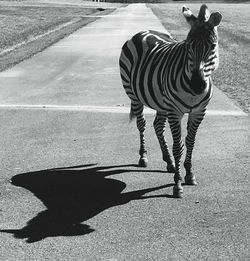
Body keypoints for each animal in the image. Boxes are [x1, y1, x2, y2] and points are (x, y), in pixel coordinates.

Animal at [119, 4, 223, 197]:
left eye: (213, 46)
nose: (197, 85)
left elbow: (190, 142)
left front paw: (189, 173)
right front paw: (177, 184)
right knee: (142, 124)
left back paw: (169, 161)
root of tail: (143, 31)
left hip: (161, 101)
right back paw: (143, 156)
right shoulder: (175, 112)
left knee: (158, 125)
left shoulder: (199, 112)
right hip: (134, 95)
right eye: (188, 46)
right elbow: (178, 147)